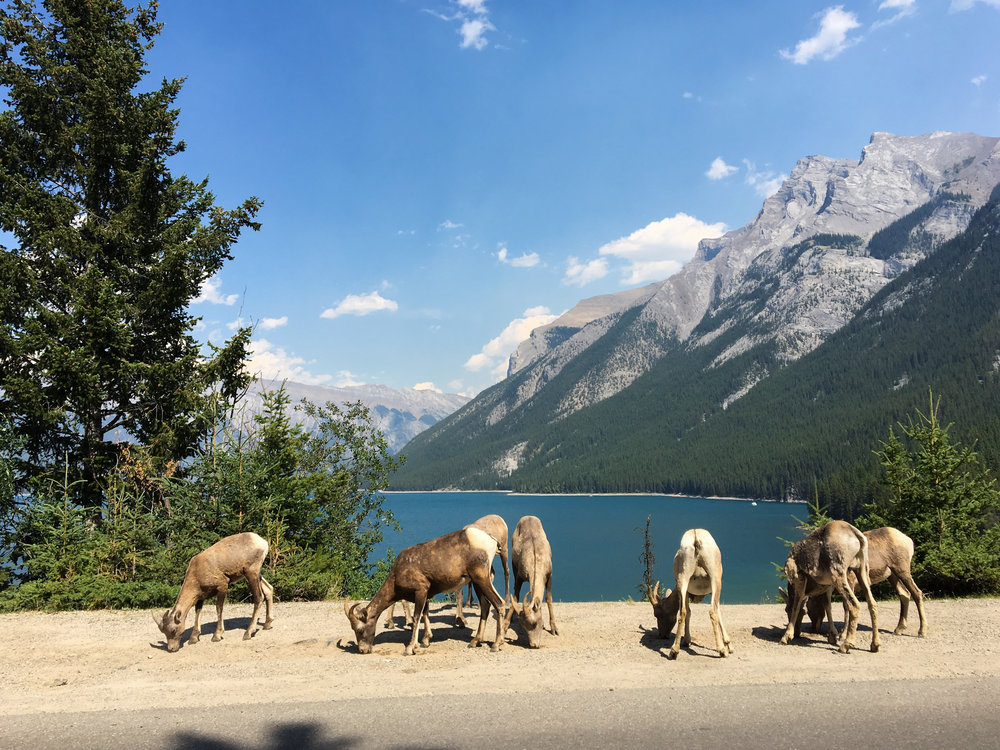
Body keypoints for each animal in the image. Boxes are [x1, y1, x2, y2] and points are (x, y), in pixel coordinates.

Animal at [346, 524, 508, 656]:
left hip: (481, 579)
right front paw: (425, 641)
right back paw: (474, 642)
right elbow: (425, 613)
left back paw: (496, 645)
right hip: (477, 582)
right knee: (486, 606)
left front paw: (410, 648)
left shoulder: (420, 591)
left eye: (360, 630)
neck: (399, 571)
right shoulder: (426, 594)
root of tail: (491, 541)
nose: (363, 650)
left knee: (499, 603)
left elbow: (417, 617)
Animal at [504, 520, 560, 648]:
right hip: (513, 567)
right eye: (523, 626)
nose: (534, 645)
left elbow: (548, 598)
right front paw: (505, 626)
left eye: (536, 623)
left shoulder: (549, 576)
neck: (535, 559)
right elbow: (516, 596)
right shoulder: (519, 577)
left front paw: (554, 629)